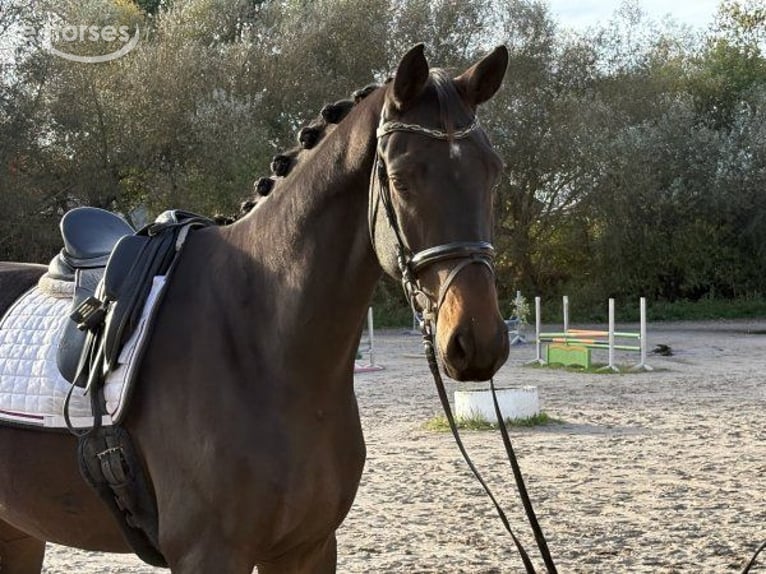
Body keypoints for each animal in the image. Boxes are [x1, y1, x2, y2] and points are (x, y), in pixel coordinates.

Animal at [0, 44, 510, 573]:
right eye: (401, 179)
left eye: (493, 173)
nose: (477, 339)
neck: (262, 344)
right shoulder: (209, 553)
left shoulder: (308, 547)